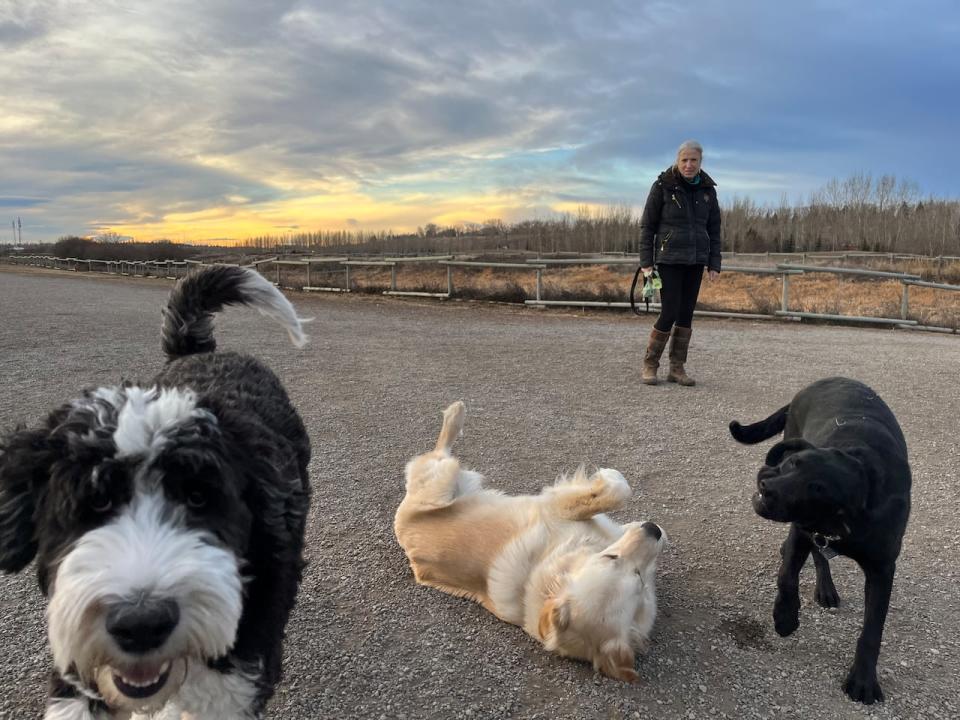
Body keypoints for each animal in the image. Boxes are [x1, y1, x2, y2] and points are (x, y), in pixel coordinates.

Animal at [0, 268, 312, 716]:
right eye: (95, 500)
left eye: (199, 498)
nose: (141, 623)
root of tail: (200, 352)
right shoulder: (74, 651)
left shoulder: (235, 678)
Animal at [394, 402, 664, 684]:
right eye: (610, 557)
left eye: (640, 579)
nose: (653, 529)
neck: (549, 563)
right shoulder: (557, 506)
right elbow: (617, 492)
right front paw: (610, 478)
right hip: (441, 483)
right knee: (439, 452)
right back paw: (456, 413)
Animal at [732, 376, 912, 704]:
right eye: (793, 463)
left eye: (816, 489)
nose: (766, 484)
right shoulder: (801, 532)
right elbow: (786, 577)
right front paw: (785, 618)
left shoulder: (882, 568)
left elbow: (872, 629)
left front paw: (864, 680)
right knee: (814, 555)